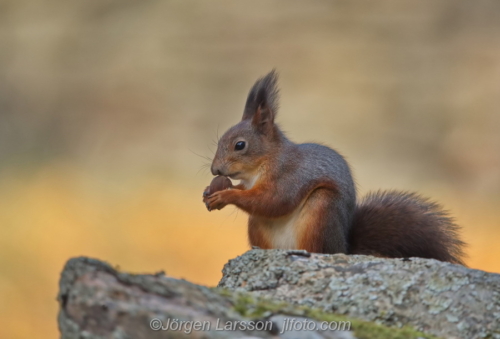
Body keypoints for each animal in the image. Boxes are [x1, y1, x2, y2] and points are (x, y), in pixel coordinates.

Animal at [201, 69, 466, 266]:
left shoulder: (290, 175)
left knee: (316, 248)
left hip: (321, 210)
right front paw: (210, 191)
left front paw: (226, 195)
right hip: (257, 226)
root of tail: (343, 248)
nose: (215, 171)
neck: (263, 164)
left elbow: (273, 201)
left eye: (240, 145)